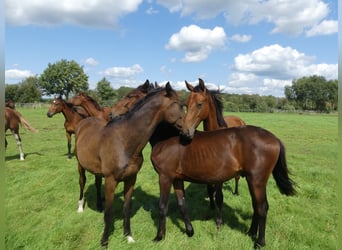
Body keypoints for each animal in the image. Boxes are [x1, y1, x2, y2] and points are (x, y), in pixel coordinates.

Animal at [73, 83, 183, 247]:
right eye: (178, 104)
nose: (188, 128)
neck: (124, 141)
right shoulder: (111, 180)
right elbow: (109, 212)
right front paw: (104, 241)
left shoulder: (131, 179)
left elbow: (126, 208)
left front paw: (128, 236)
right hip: (80, 166)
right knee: (82, 182)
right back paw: (80, 207)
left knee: (97, 183)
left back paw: (98, 205)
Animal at [151, 96, 296, 249]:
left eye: (199, 104)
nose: (186, 132)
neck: (166, 137)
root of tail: (275, 138)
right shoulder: (178, 178)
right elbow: (183, 203)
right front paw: (190, 231)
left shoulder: (165, 177)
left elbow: (163, 206)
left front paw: (159, 237)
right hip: (252, 180)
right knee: (256, 205)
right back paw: (251, 232)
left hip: (257, 181)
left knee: (262, 207)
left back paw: (259, 242)